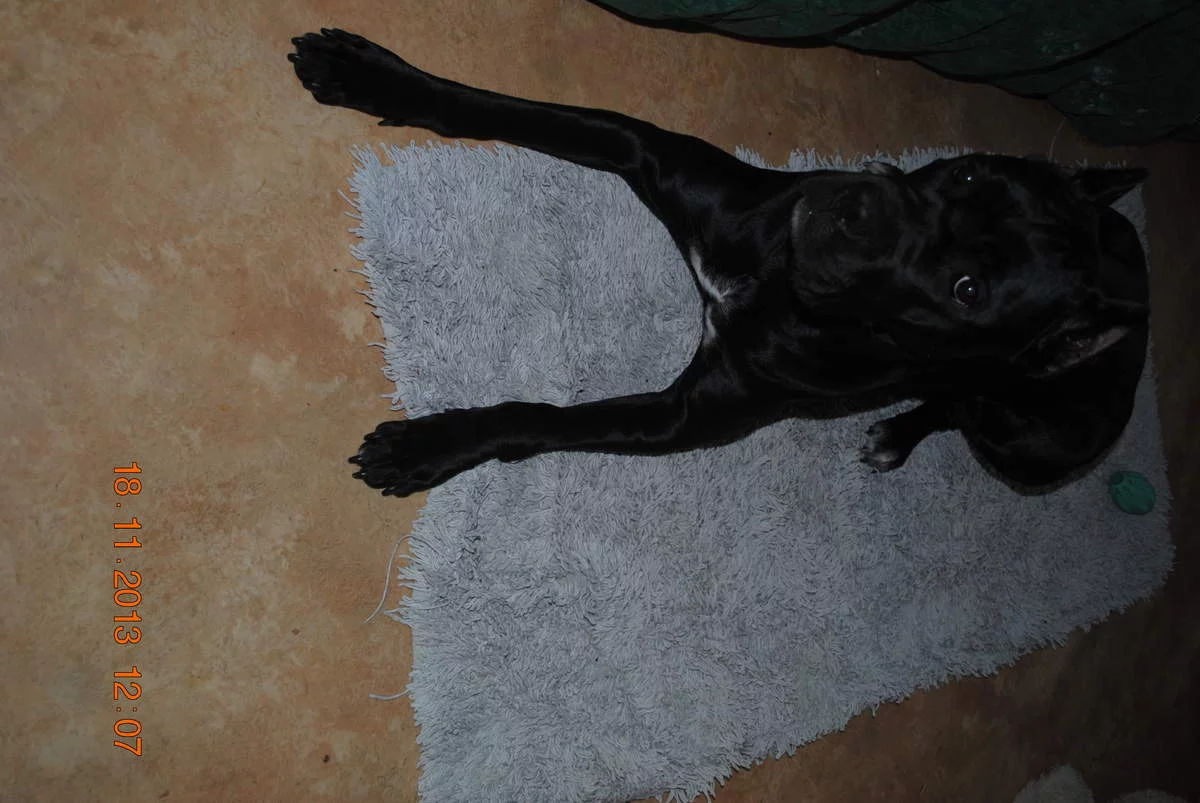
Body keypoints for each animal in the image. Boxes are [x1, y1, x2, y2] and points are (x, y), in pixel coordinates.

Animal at [289, 29, 1150, 498]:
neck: (776, 277)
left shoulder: (677, 419)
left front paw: (430, 445)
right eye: (967, 174)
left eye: (968, 289)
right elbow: (505, 109)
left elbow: (538, 418)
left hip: (1031, 439)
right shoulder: (646, 148)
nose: (857, 206)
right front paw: (374, 77)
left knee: (963, 403)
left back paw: (899, 435)